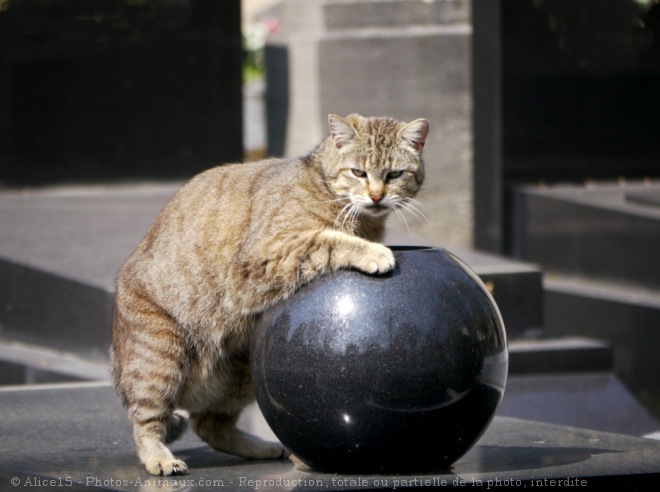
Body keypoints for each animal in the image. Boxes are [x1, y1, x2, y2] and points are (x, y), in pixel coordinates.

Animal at [109, 113, 428, 474]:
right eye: (358, 172)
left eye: (394, 175)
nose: (376, 197)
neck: (323, 184)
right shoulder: (265, 255)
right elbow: (327, 239)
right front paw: (372, 252)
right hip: (159, 357)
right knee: (145, 422)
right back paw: (160, 458)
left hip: (241, 372)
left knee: (209, 425)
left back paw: (263, 448)